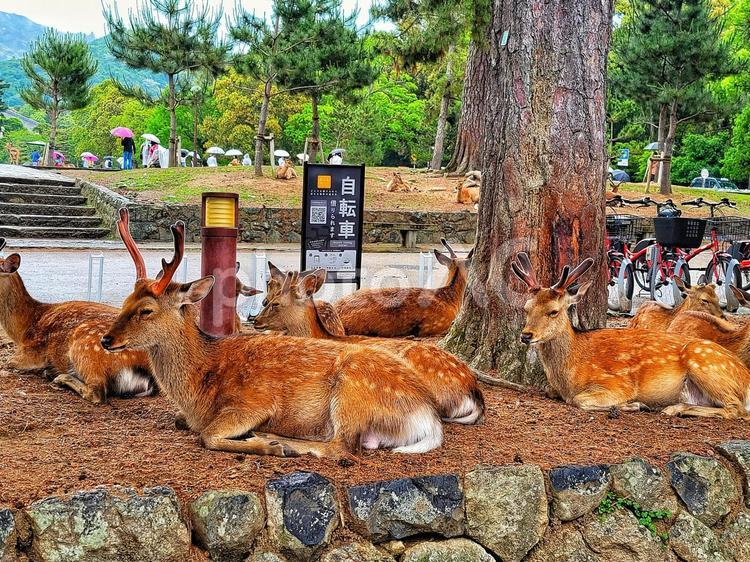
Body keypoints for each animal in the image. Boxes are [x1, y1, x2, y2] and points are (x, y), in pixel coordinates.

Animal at [0, 238, 153, 403]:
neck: (25, 327)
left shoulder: (31, 351)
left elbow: (9, 362)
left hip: (87, 345)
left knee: (97, 392)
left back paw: (59, 377)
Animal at [101, 221, 449, 458]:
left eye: (146, 310)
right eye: (125, 302)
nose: (106, 340)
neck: (200, 384)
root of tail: (429, 417)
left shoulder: (253, 402)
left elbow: (208, 436)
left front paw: (263, 443)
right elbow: (182, 423)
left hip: (352, 391)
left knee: (341, 447)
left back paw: (281, 442)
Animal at [512, 252, 750, 418]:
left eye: (553, 311)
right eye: (526, 308)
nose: (526, 335)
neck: (568, 373)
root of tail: (746, 377)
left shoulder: (617, 383)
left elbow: (579, 400)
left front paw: (634, 404)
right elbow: (549, 391)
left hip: (705, 363)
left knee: (736, 409)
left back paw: (670, 409)